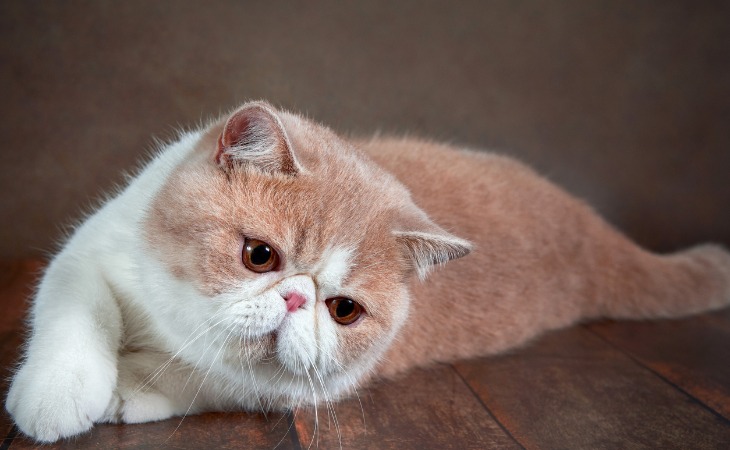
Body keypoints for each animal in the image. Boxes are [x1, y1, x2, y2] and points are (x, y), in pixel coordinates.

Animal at [5, 100, 728, 442]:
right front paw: (59, 391)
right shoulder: (90, 252)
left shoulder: (300, 386)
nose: (296, 300)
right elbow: (74, 313)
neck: (169, 320)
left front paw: (133, 386)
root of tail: (588, 223)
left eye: (343, 309)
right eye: (260, 256)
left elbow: (206, 377)